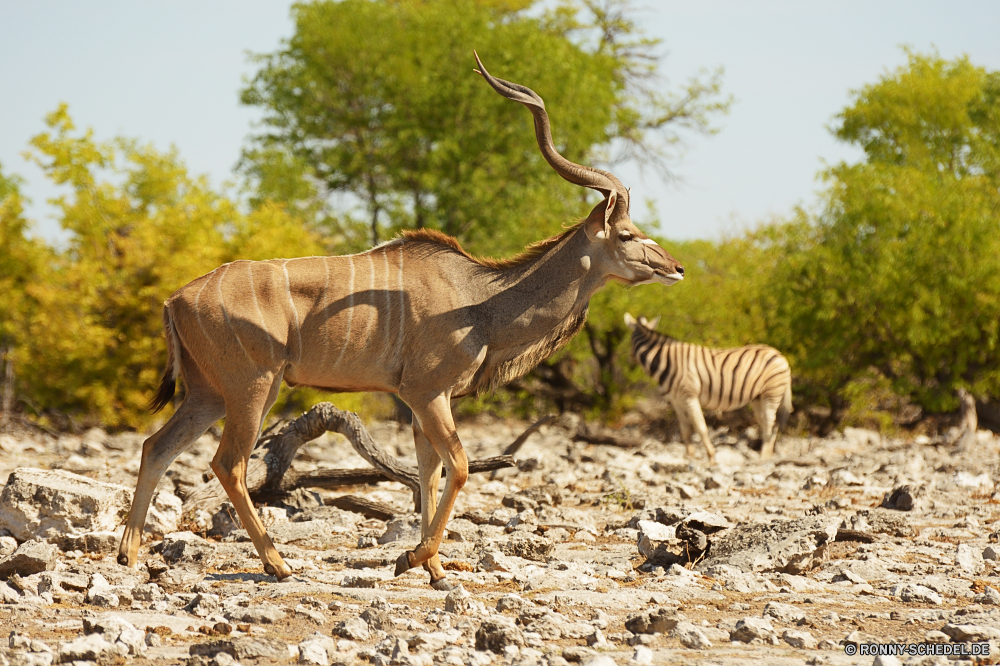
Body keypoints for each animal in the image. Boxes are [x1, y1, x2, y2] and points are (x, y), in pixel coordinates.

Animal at [113, 54, 684, 588]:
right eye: (628, 234)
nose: (676, 267)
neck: (479, 300)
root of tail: (175, 299)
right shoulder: (428, 393)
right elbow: (458, 466)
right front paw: (413, 557)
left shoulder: (424, 400)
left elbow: (427, 472)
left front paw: (433, 568)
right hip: (254, 387)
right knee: (227, 463)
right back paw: (277, 563)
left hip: (208, 393)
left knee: (155, 447)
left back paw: (129, 555)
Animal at [624, 312, 788, 462]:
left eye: (630, 340)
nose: (629, 358)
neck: (666, 361)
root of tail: (779, 354)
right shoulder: (676, 401)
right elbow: (685, 429)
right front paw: (690, 456)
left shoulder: (689, 396)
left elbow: (701, 427)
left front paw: (711, 456)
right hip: (758, 398)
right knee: (767, 424)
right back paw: (766, 456)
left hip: (771, 393)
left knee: (770, 425)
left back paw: (763, 458)